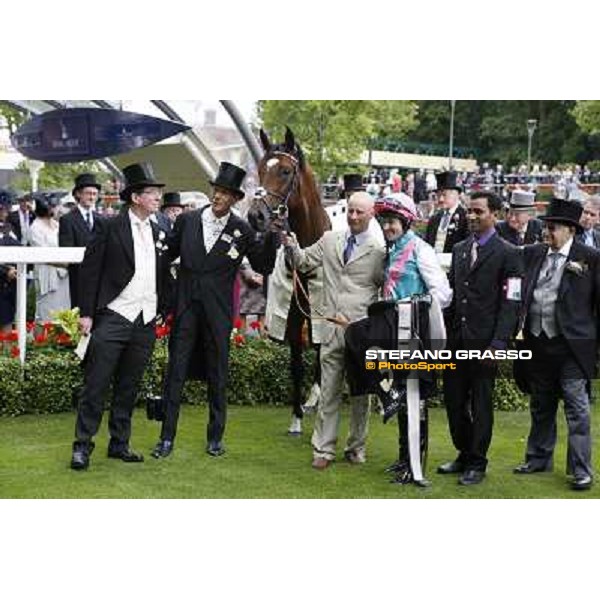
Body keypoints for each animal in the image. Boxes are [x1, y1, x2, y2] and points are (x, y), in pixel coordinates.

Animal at [248, 127, 332, 436]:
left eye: (285, 171)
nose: (255, 216)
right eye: (261, 169)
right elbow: (296, 362)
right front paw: (295, 418)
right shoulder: (296, 314)